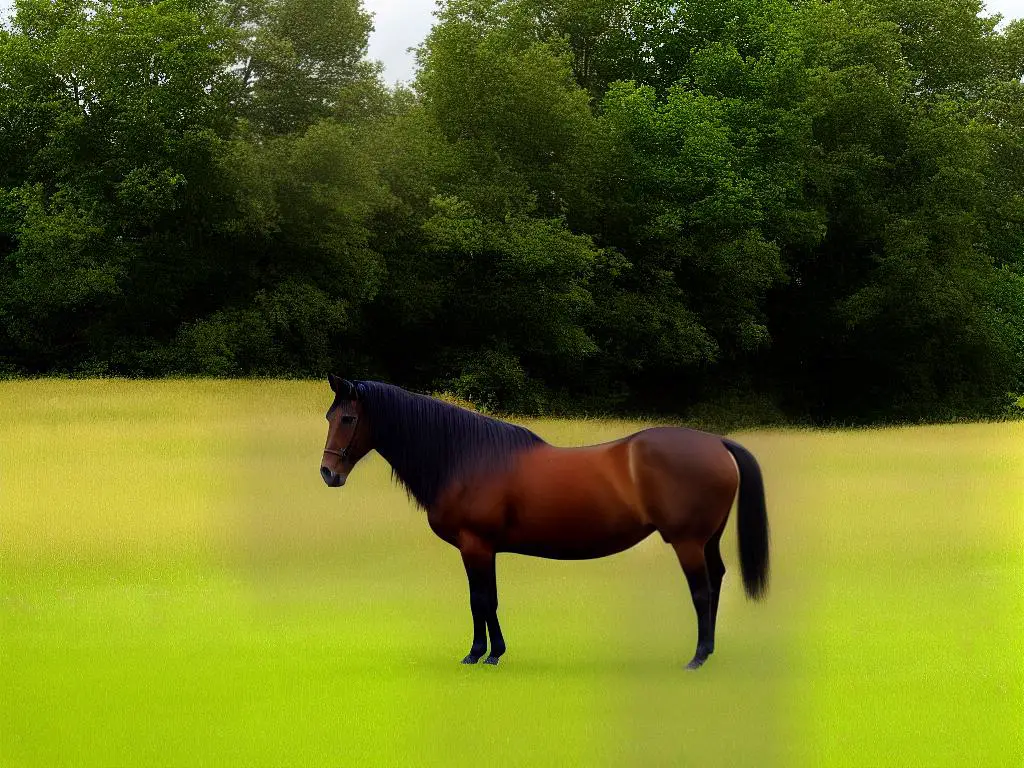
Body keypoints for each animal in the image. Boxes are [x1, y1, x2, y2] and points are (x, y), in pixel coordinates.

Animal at [319, 376, 770, 671]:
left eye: (347, 419)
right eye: (328, 416)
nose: (328, 474)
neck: (466, 456)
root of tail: (716, 442)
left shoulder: (474, 544)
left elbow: (480, 600)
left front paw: (479, 654)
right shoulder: (484, 548)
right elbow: (488, 599)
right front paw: (492, 652)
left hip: (687, 541)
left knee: (702, 590)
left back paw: (697, 657)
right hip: (707, 540)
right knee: (716, 580)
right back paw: (709, 651)